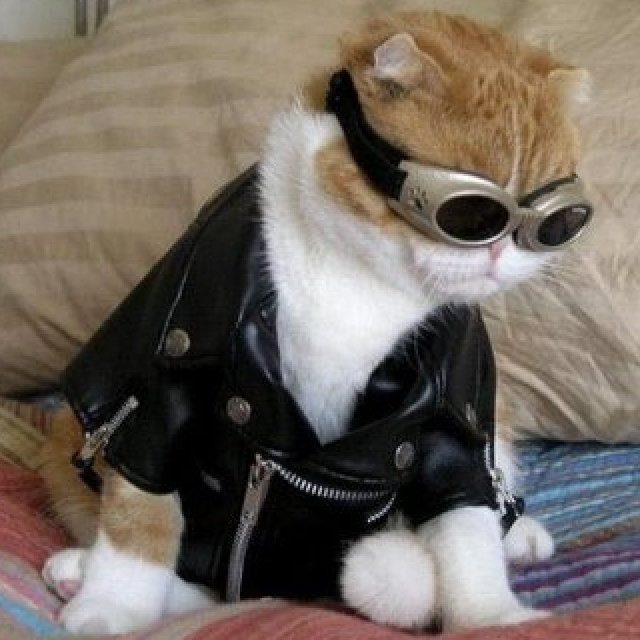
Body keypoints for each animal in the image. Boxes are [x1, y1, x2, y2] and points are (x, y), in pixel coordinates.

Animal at [38, 11, 589, 635]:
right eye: (470, 212)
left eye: (551, 212)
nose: (501, 253)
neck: (364, 284)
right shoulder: (164, 390)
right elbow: (141, 514)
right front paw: (116, 606)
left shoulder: (454, 421)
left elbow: (466, 526)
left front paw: (493, 614)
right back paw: (83, 571)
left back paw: (519, 535)